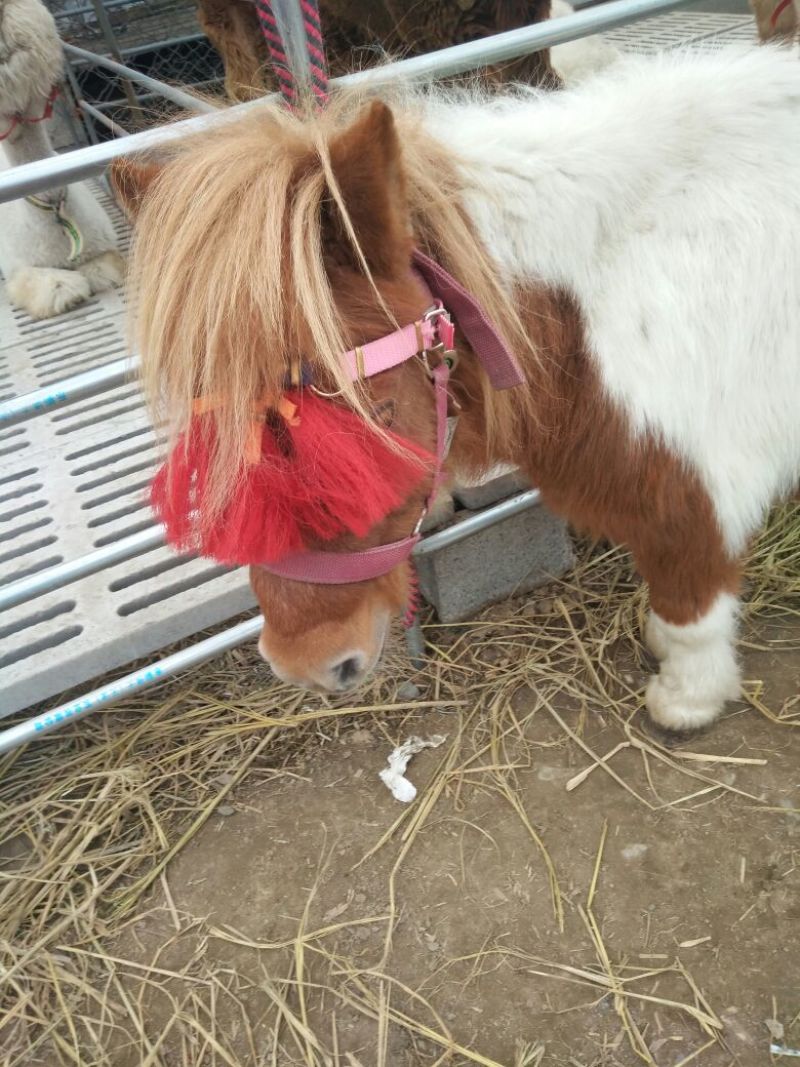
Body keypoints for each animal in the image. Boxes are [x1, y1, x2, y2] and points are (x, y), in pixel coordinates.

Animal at [112, 45, 800, 733]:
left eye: (381, 410)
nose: (305, 664)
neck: (607, 283)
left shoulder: (698, 488)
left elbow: (691, 609)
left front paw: (687, 698)